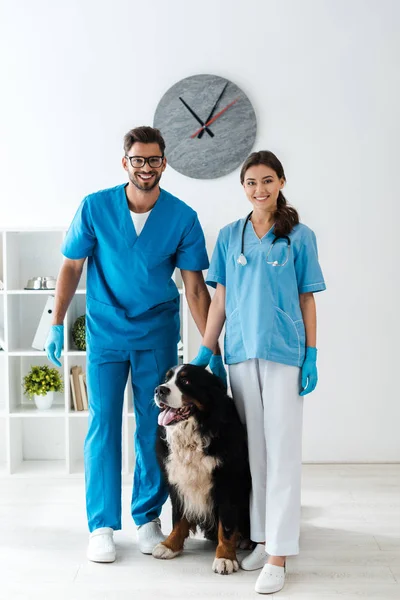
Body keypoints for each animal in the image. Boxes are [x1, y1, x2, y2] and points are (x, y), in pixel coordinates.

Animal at [152, 364, 250, 576]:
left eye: (186, 381)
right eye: (166, 379)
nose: (159, 390)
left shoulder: (227, 483)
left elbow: (227, 525)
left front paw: (225, 557)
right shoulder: (177, 483)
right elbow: (178, 518)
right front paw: (170, 545)